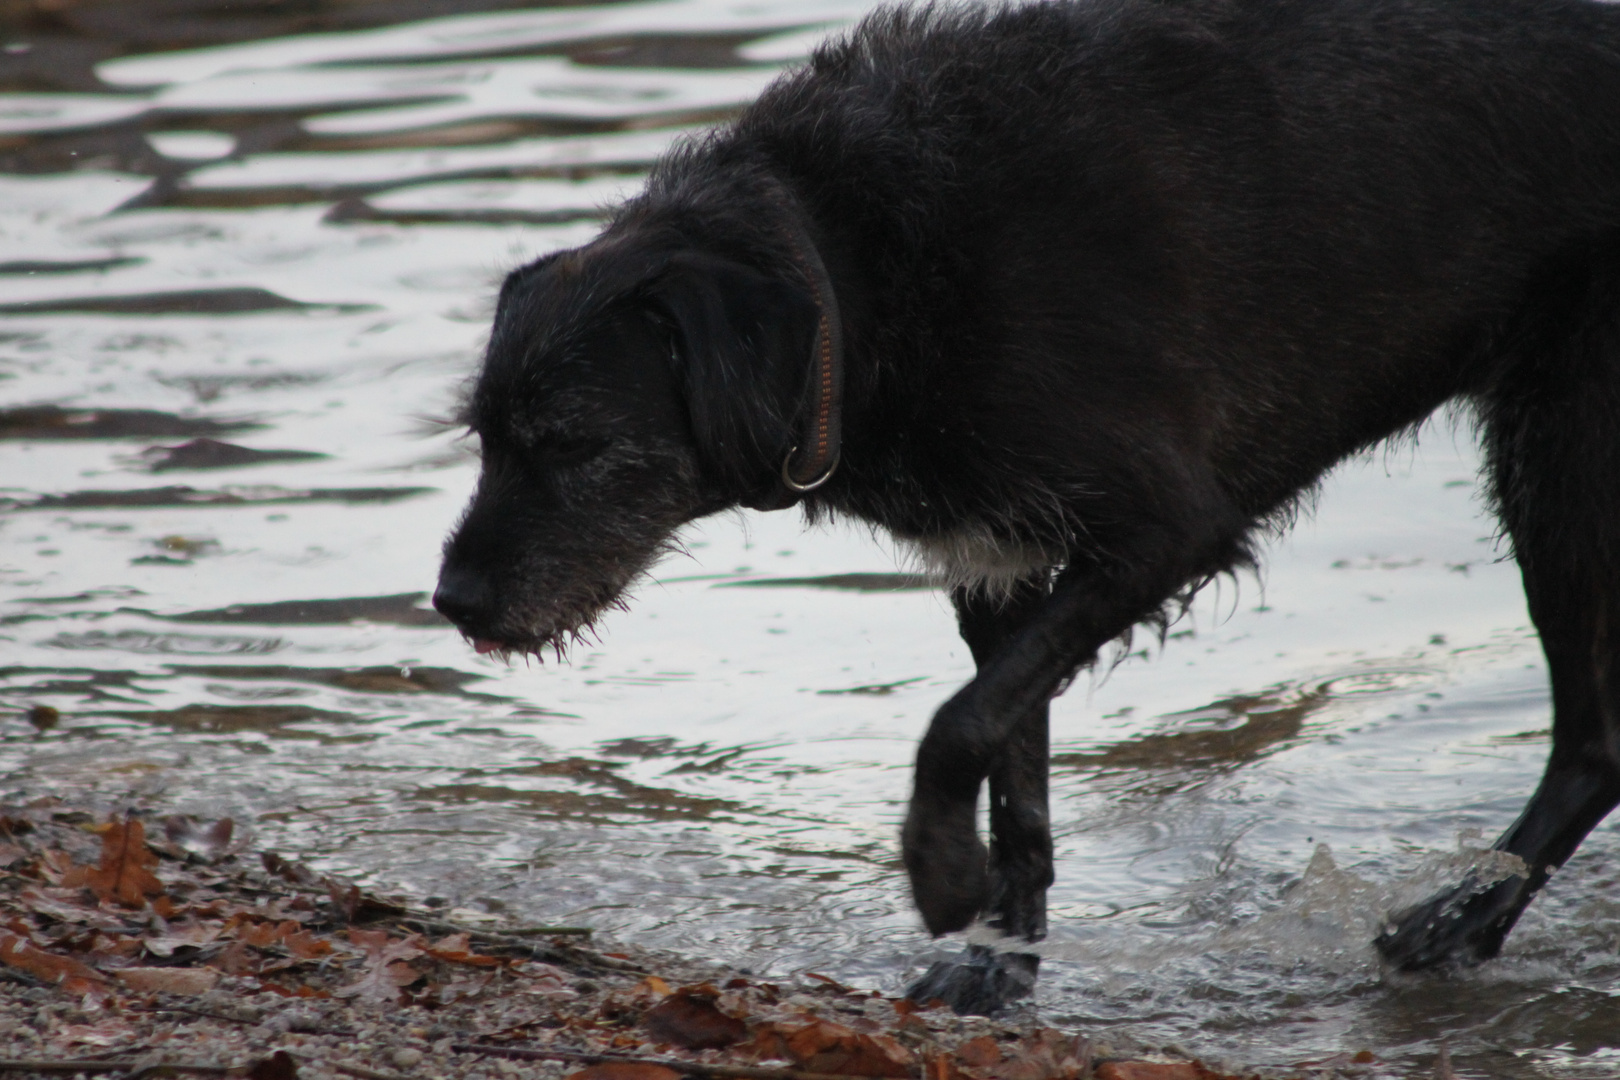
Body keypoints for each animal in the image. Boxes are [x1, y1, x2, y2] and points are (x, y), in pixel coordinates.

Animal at [440, 0, 1620, 1016]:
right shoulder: (1000, 568)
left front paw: (939, 869)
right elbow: (1016, 773)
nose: (454, 601)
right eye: (483, 435)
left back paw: (1464, 918)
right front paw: (998, 962)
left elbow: (958, 725)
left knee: (1591, 744)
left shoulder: (1163, 531)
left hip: (1555, 460)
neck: (854, 276)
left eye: (573, 442)